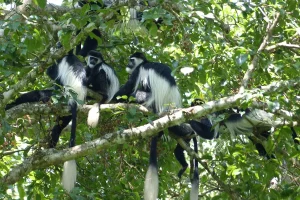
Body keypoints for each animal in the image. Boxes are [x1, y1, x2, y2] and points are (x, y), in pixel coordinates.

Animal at [113, 52, 182, 200]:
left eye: (131, 60)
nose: (128, 64)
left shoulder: (139, 71)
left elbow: (128, 87)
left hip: (150, 100)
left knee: (139, 92)